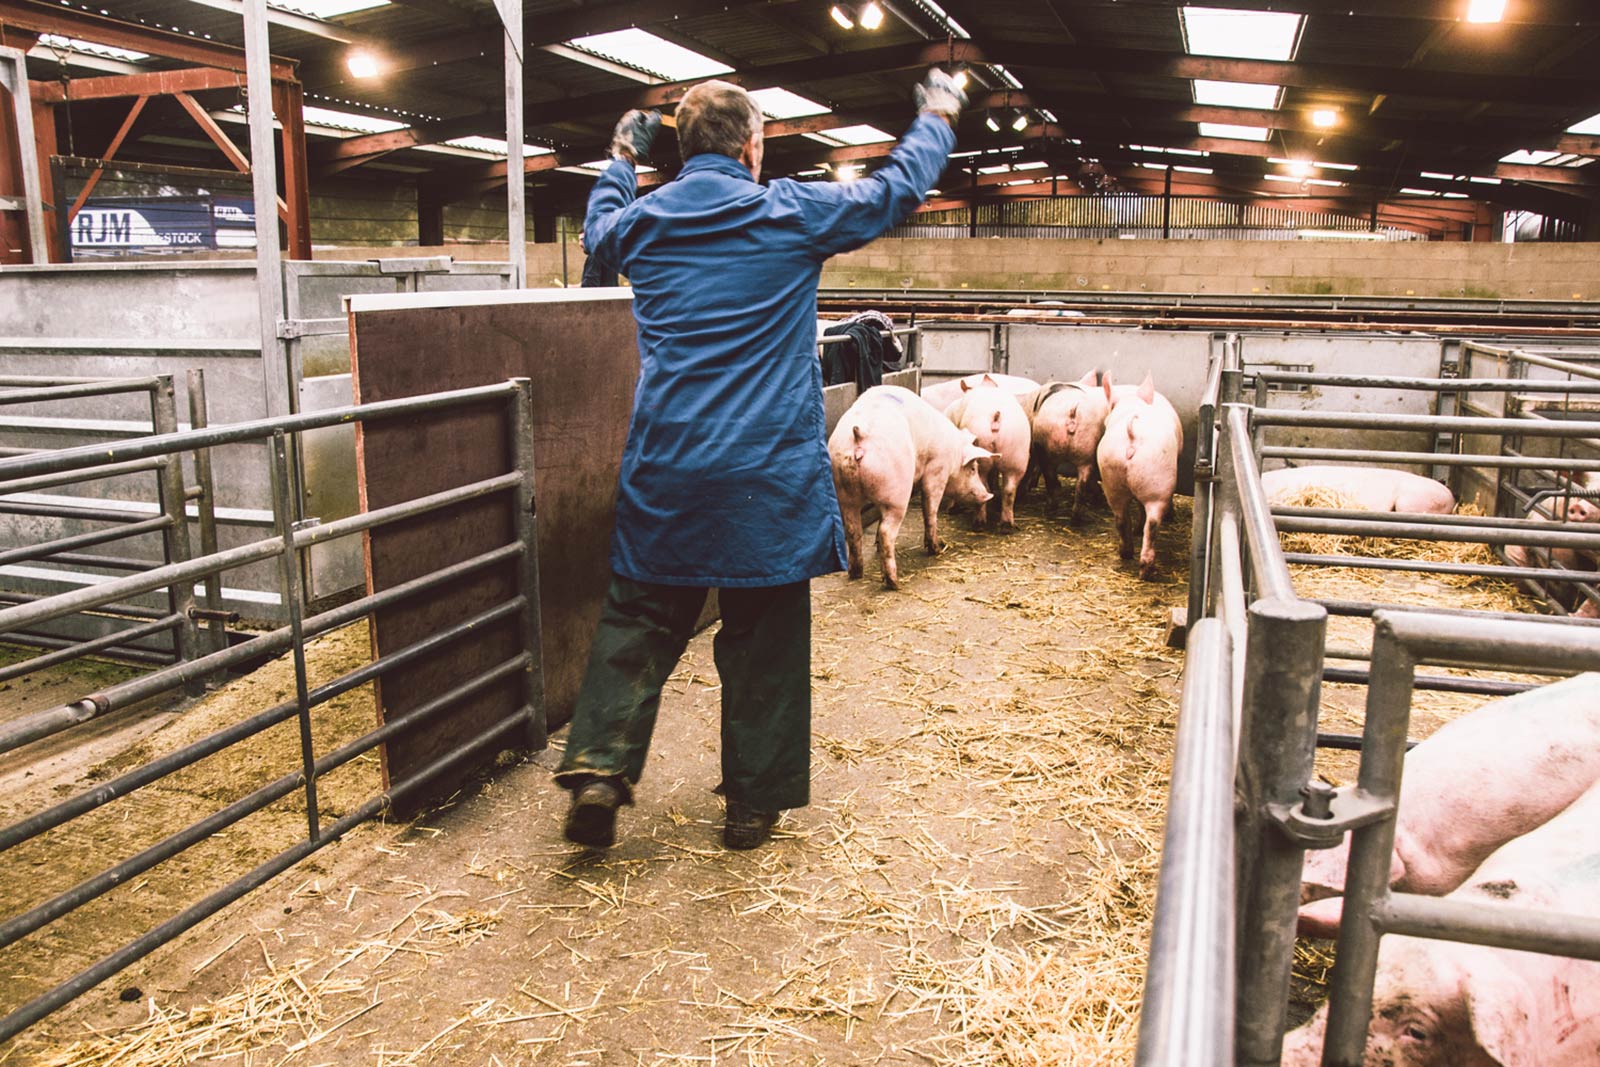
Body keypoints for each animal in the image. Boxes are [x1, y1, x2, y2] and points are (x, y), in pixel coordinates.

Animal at [828, 385, 994, 590]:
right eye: (973, 468)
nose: (989, 495)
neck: (954, 455)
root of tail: (859, 435)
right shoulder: (937, 470)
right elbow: (930, 509)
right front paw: (937, 549)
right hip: (896, 493)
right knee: (886, 532)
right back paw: (894, 583)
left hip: (843, 491)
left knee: (853, 530)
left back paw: (856, 573)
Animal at [943, 376, 1032, 532]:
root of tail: (995, 416)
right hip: (1017, 455)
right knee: (1009, 490)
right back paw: (1006, 526)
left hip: (983, 450)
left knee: (984, 485)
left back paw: (978, 523)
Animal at [1028, 369, 1110, 524]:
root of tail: (1072, 411)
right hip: (1087, 451)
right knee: (1081, 484)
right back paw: (1076, 519)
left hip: (1045, 447)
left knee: (1050, 479)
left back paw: (1050, 510)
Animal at [1096, 371, 1183, 581]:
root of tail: (1132, 433)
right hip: (1158, 481)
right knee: (1152, 523)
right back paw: (1146, 570)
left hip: (1111, 476)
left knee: (1120, 517)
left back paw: (1125, 553)